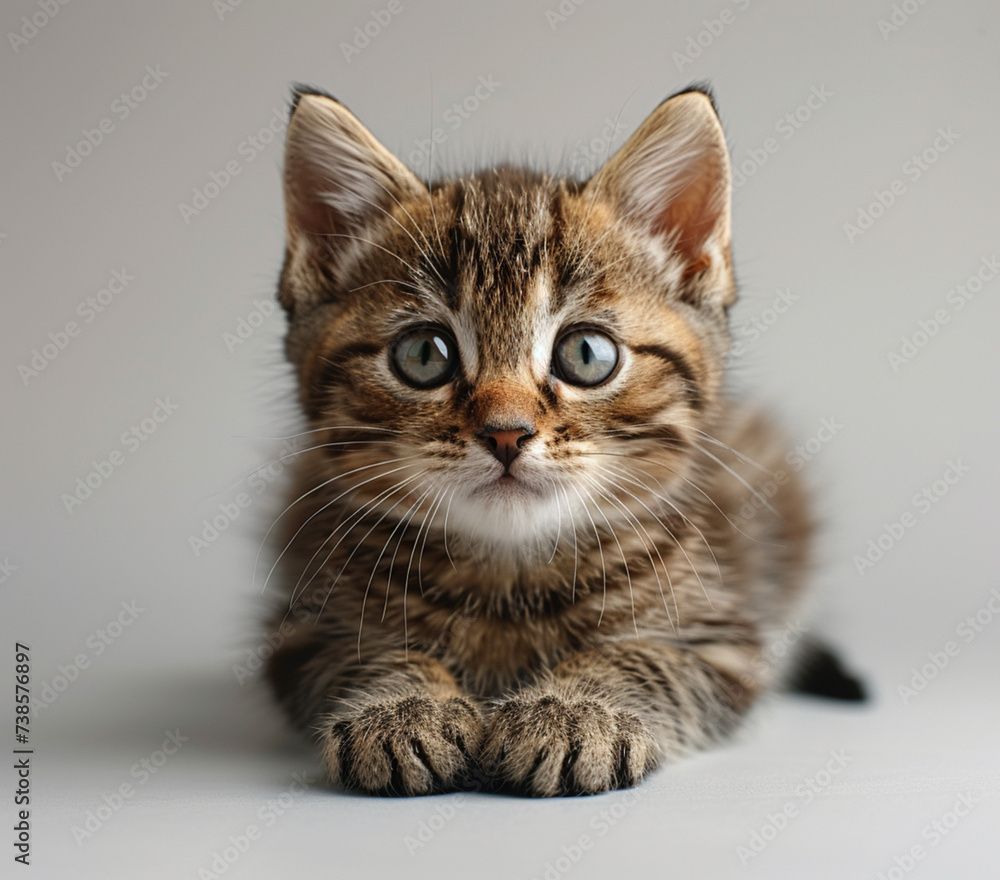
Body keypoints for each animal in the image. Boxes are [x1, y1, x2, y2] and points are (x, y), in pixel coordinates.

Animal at [264, 84, 852, 796]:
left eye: (586, 354)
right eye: (424, 355)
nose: (506, 432)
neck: (507, 576)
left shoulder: (724, 640)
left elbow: (642, 656)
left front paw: (575, 712)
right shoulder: (304, 634)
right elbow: (369, 653)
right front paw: (403, 708)